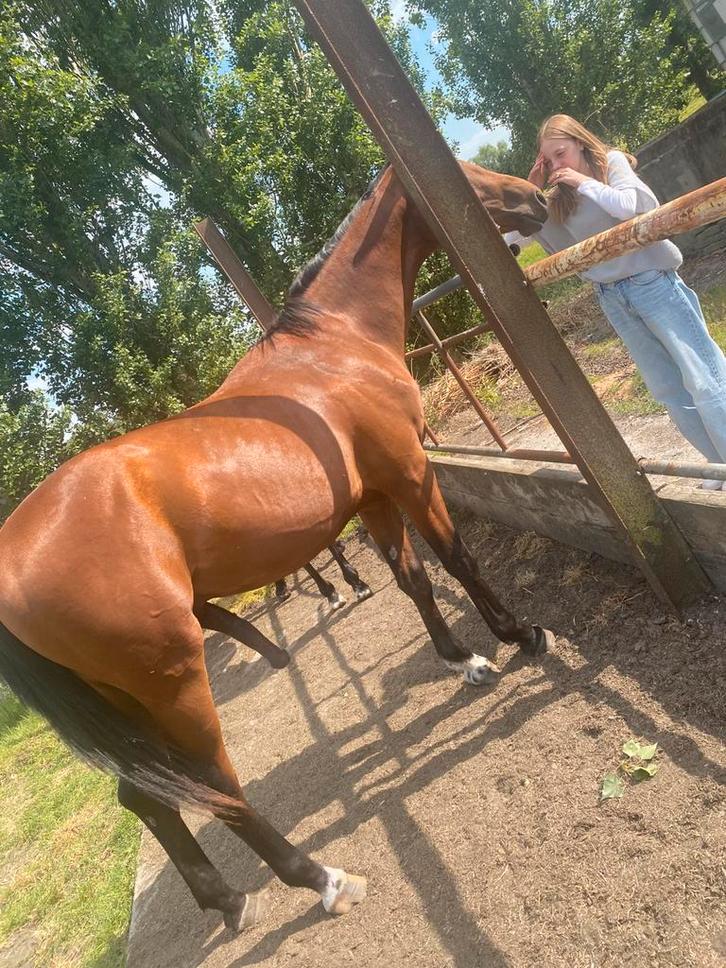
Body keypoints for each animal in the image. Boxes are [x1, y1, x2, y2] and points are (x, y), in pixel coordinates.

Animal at [0, 160, 550, 933]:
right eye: (461, 166)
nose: (533, 197)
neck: (331, 350)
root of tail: (12, 559)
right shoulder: (409, 472)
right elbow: (455, 557)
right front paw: (518, 635)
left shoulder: (373, 497)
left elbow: (412, 577)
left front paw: (462, 659)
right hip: (175, 683)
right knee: (219, 792)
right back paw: (323, 878)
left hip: (127, 699)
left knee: (147, 799)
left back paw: (229, 900)